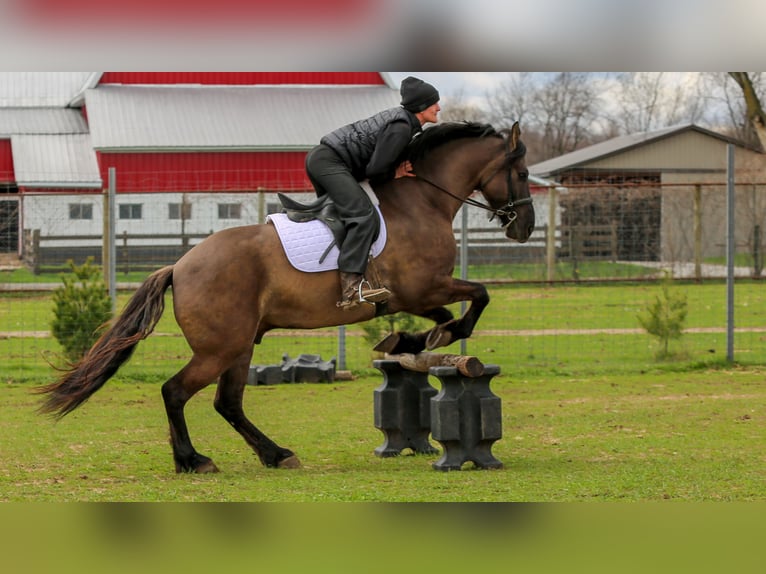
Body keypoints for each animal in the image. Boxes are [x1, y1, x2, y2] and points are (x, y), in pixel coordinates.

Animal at [36, 121, 535, 473]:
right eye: (524, 172)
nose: (525, 228)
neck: (422, 202)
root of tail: (178, 266)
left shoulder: (410, 297)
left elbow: (442, 316)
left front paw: (411, 342)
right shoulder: (421, 286)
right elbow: (477, 298)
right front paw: (439, 336)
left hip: (239, 346)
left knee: (227, 403)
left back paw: (275, 454)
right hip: (221, 347)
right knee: (176, 391)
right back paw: (193, 460)